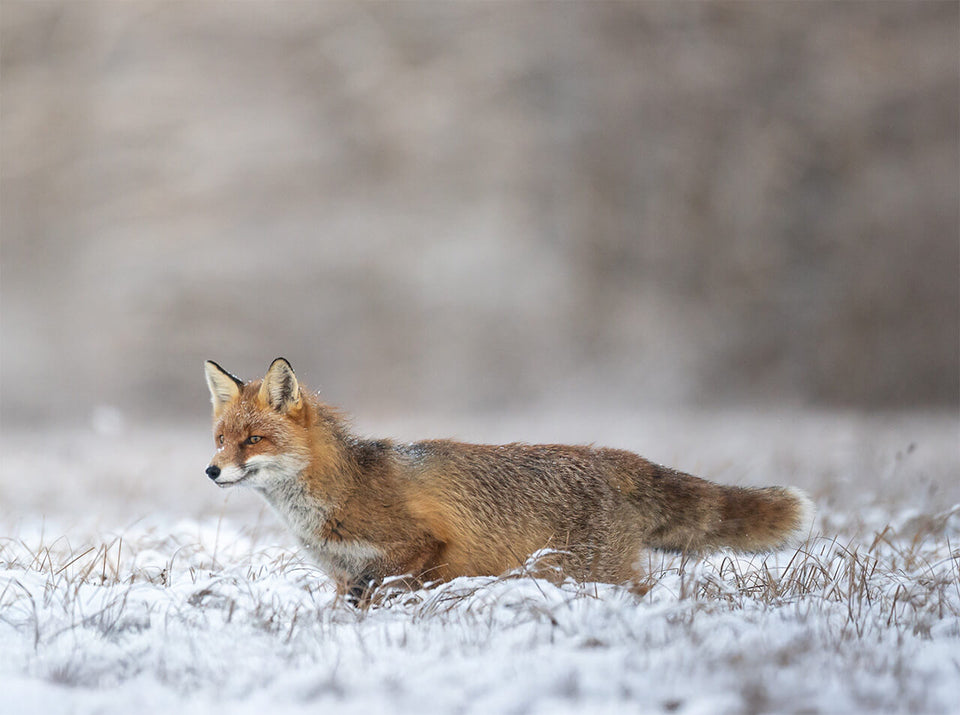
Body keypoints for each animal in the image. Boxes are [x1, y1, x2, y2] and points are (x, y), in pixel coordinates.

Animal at [204, 358, 814, 600]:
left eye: (253, 440)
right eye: (220, 439)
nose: (211, 470)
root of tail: (613, 457)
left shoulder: (415, 550)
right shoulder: (344, 573)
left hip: (591, 572)